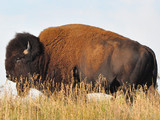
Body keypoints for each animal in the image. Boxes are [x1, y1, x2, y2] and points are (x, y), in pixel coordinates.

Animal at [5, 23, 158, 96]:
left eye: (18, 58)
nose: (8, 75)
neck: (45, 55)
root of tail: (146, 49)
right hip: (149, 86)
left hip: (129, 88)